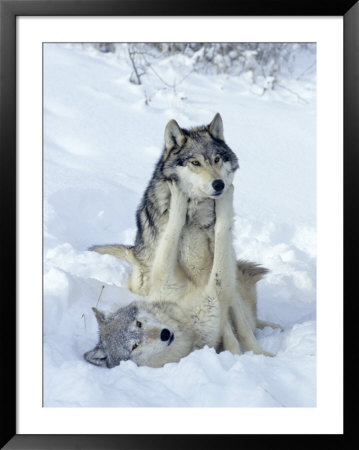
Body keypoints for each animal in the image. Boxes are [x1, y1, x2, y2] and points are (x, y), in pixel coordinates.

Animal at [86, 184, 278, 370]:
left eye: (139, 323)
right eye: (135, 346)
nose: (165, 334)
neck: (183, 318)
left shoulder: (165, 275)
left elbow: (171, 233)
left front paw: (178, 196)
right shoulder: (215, 294)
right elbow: (222, 236)